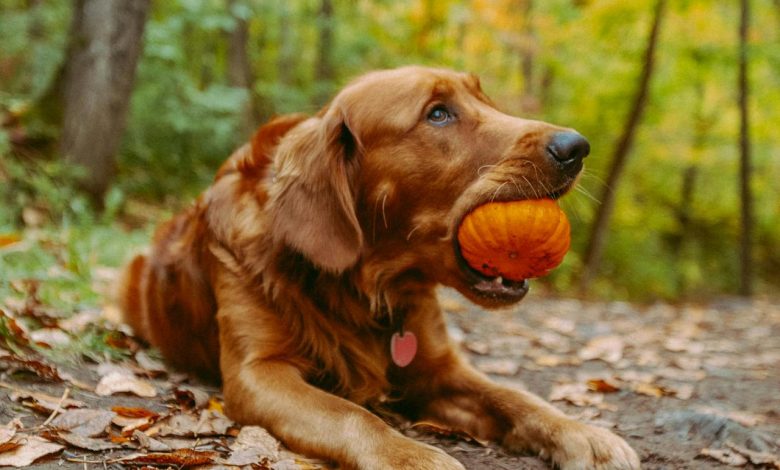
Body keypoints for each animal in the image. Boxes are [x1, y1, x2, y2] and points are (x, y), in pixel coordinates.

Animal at [117, 67, 640, 470]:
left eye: (485, 98)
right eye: (438, 113)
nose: (576, 146)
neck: (369, 287)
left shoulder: (439, 368)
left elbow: (513, 395)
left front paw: (582, 433)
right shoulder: (258, 373)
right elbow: (351, 414)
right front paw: (415, 457)